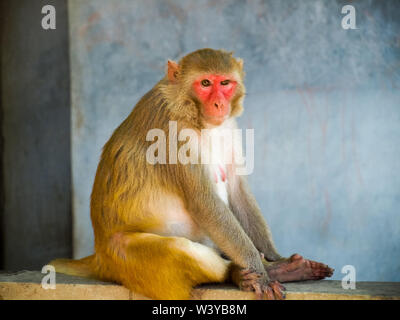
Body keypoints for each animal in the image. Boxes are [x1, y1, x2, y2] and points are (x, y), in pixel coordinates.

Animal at [52, 48, 334, 300]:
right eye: (205, 83)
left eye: (225, 83)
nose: (219, 103)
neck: (191, 112)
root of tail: (99, 257)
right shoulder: (170, 133)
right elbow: (203, 202)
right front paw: (260, 272)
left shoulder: (229, 126)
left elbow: (237, 189)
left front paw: (275, 257)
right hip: (125, 260)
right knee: (178, 248)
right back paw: (238, 274)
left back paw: (282, 268)